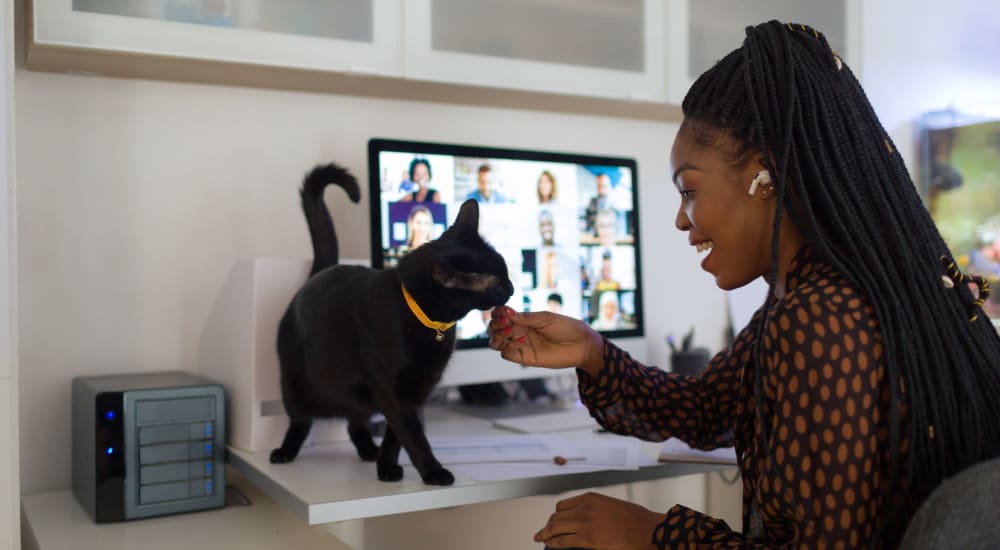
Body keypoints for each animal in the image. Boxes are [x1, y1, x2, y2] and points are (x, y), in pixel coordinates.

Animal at [270, 164, 512, 488]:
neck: (430, 324)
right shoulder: (395, 391)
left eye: (506, 271)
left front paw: (386, 467)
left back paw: (367, 450)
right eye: (498, 283)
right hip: (294, 383)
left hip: (352, 393)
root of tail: (319, 273)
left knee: (355, 421)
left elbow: (396, 435)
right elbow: (413, 435)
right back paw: (285, 451)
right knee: (301, 420)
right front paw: (433, 472)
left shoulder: (417, 389)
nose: (512, 287)